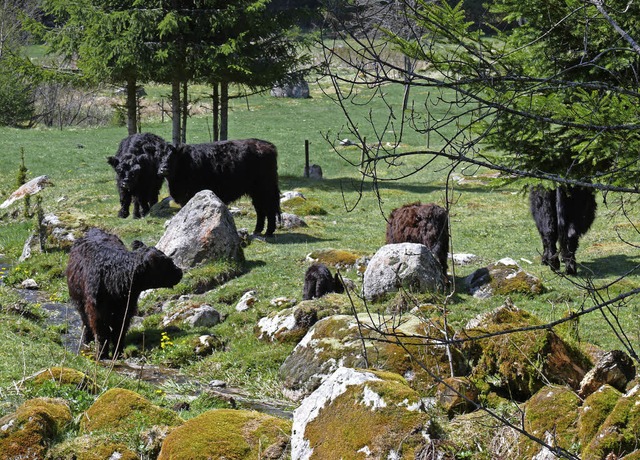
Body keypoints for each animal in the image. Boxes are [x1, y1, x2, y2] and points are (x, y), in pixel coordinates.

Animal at [66, 228, 181, 362]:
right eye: (165, 262)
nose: (180, 272)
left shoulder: (126, 310)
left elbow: (119, 332)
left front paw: (118, 354)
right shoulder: (97, 310)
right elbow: (101, 332)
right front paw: (102, 355)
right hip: (80, 302)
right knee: (86, 323)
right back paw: (86, 342)